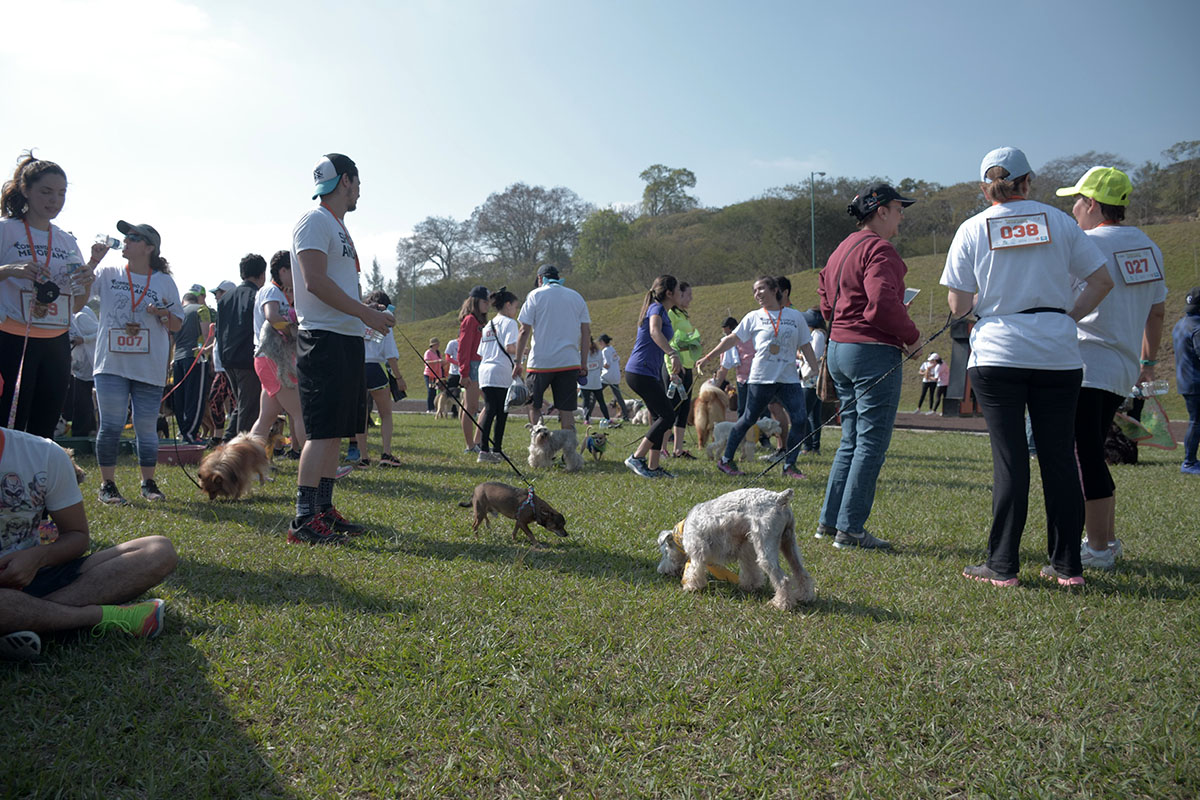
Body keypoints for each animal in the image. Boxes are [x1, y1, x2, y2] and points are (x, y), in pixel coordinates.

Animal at [657, 484, 816, 609]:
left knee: (783, 579)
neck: (683, 531)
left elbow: (694, 570)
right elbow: (751, 571)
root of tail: (779, 498)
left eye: (665, 552)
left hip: (766, 549)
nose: (661, 571)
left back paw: (780, 604)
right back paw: (805, 597)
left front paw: (691, 587)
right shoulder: (747, 552)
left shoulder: (697, 552)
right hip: (789, 543)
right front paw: (751, 586)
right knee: (801, 572)